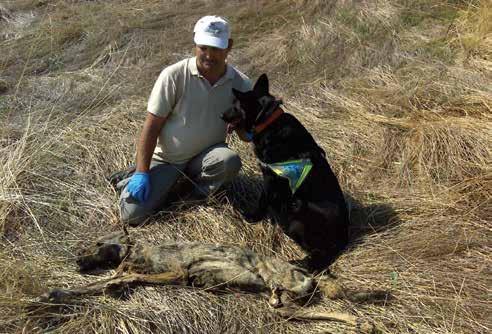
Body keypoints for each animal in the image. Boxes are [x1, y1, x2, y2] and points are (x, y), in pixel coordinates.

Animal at [223, 74, 350, 272]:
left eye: (235, 105)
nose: (221, 116)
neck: (267, 120)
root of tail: (344, 236)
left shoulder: (270, 177)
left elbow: (262, 199)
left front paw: (252, 217)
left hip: (298, 210)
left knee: (320, 257)